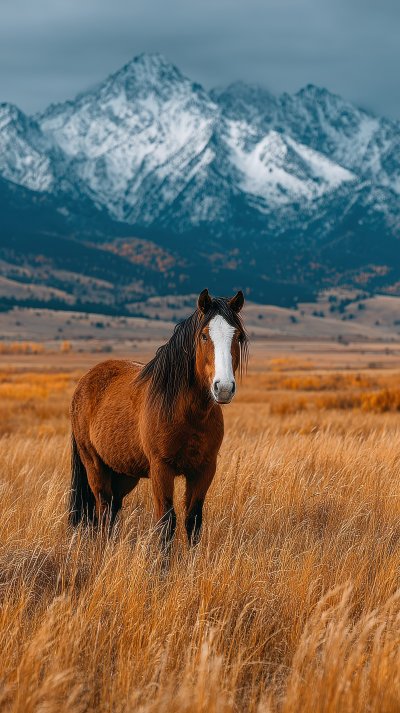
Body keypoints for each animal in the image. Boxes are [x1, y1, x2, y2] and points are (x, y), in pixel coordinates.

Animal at [69, 288, 248, 549]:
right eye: (204, 336)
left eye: (237, 336)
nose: (223, 388)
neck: (188, 414)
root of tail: (84, 382)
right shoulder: (161, 468)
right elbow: (166, 522)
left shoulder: (205, 469)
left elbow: (193, 521)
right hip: (94, 464)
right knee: (103, 508)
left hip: (124, 472)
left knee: (112, 510)